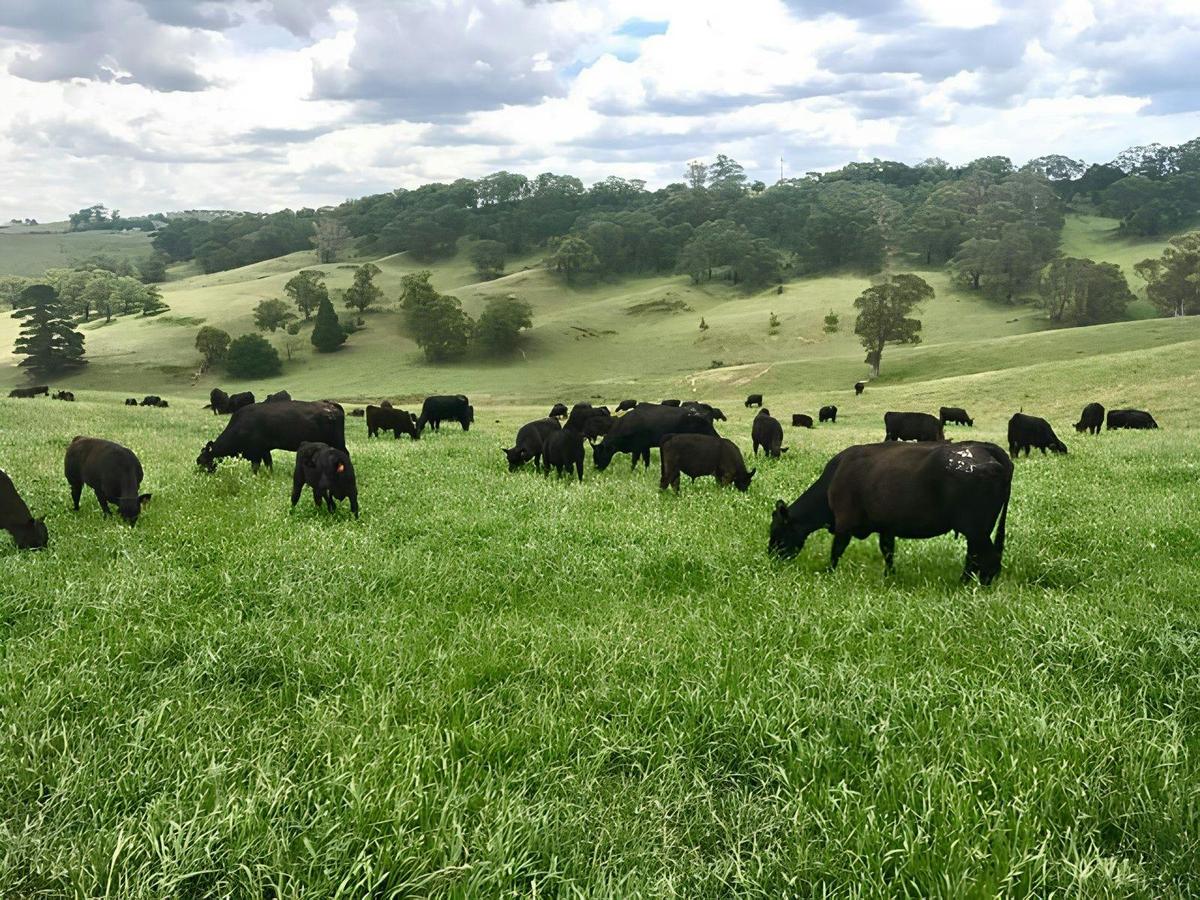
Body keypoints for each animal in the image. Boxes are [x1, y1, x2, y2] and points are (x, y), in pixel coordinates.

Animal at [197, 400, 345, 473]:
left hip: (338, 441)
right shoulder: (264, 450)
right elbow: (269, 464)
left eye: (203, 461)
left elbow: (255, 467)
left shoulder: (256, 452)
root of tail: (330, 404)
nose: (199, 476)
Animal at [769, 441, 1012, 585]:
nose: (770, 557)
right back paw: (965, 582)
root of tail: (987, 448)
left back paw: (978, 585)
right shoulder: (886, 526)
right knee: (975, 556)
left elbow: (836, 550)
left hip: (976, 528)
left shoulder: (844, 522)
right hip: (978, 530)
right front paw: (889, 576)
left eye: (776, 531)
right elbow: (887, 551)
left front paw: (828, 573)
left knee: (988, 557)